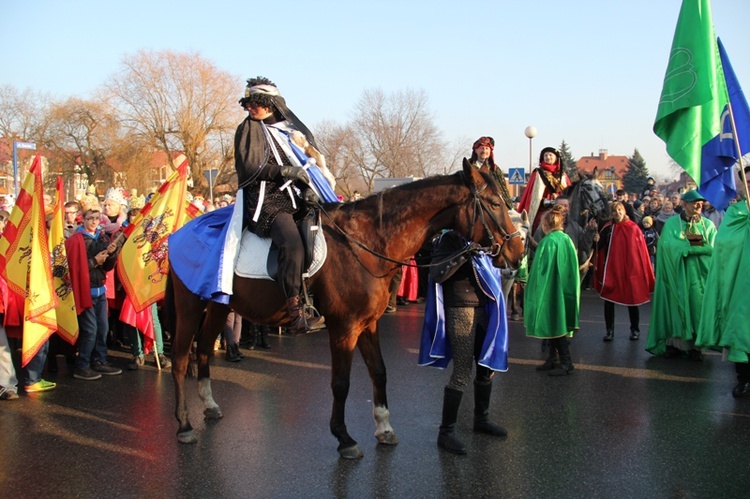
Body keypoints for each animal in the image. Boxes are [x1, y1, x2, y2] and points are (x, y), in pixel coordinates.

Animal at [167, 161, 524, 460]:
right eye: (494, 204)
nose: (518, 251)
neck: (367, 242)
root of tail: (175, 233)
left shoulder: (368, 324)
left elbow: (379, 371)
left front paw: (384, 426)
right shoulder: (344, 327)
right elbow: (341, 383)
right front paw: (344, 438)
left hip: (216, 306)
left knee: (203, 350)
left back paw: (210, 405)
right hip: (189, 308)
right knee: (181, 358)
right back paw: (184, 425)